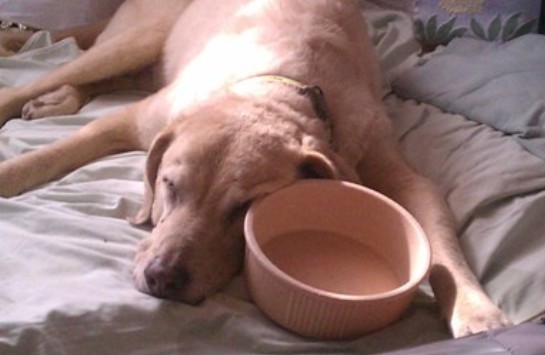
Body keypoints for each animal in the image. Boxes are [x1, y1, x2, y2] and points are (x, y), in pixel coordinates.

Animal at [0, 0, 510, 340]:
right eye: (169, 186)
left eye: (244, 208)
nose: (162, 278)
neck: (283, 86)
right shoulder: (141, 117)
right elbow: (57, 151)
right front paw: (12, 173)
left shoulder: (399, 173)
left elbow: (440, 243)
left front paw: (475, 308)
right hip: (136, 40)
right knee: (63, 65)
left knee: (99, 77)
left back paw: (58, 100)